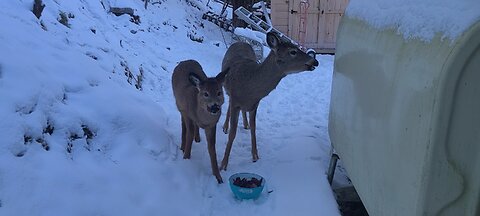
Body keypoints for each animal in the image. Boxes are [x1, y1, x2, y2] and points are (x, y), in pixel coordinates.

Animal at [220, 31, 318, 170]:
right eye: (293, 51)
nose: (315, 61)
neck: (249, 85)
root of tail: (240, 41)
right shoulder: (235, 101)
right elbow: (232, 134)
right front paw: (223, 164)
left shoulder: (255, 104)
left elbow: (254, 128)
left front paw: (255, 156)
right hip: (226, 87)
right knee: (228, 103)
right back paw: (225, 127)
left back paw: (245, 124)